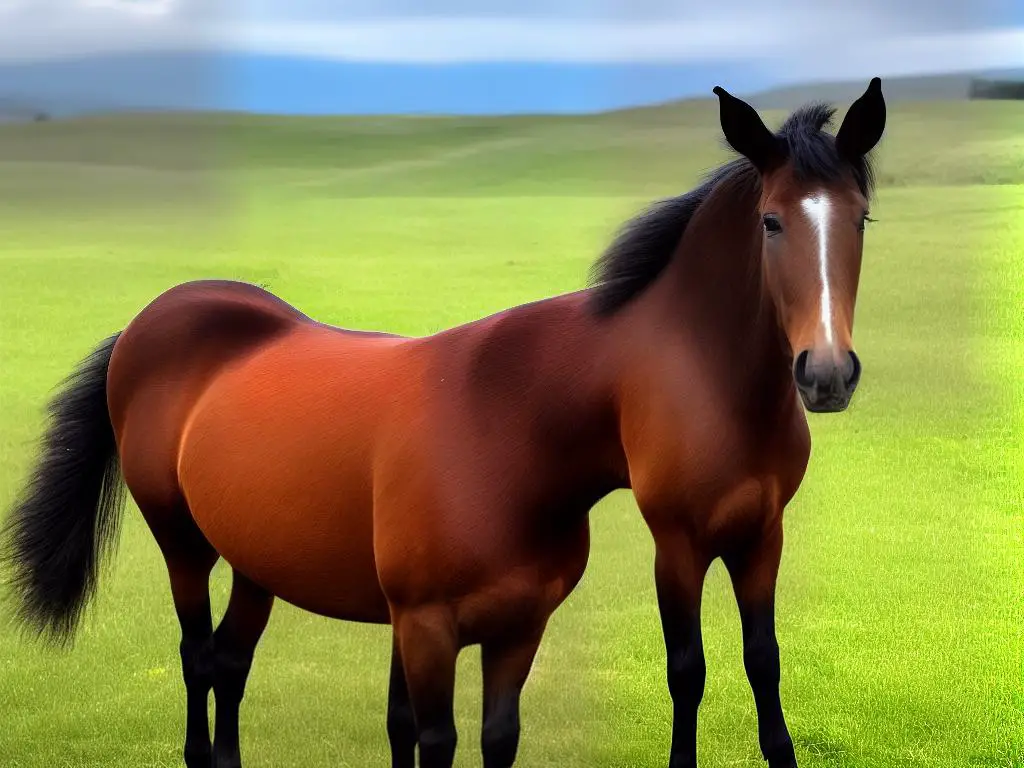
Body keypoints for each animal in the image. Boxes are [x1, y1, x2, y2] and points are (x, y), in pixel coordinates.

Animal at [0, 79, 884, 768]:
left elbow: (754, 662)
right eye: (771, 221)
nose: (826, 373)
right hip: (181, 541)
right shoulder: (459, 618)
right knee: (195, 656)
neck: (512, 427)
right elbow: (451, 734)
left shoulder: (549, 615)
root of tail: (153, 319)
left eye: (861, 219)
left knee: (231, 659)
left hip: (256, 559)